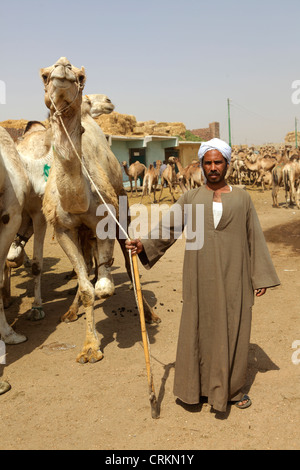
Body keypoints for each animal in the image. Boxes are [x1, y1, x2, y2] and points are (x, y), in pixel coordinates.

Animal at [39, 56, 159, 364]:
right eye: (44, 75)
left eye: (81, 76)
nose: (63, 66)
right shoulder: (63, 228)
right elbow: (85, 288)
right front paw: (90, 347)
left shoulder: (105, 219)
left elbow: (103, 286)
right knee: (84, 267)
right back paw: (70, 311)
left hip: (122, 208)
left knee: (127, 263)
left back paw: (149, 313)